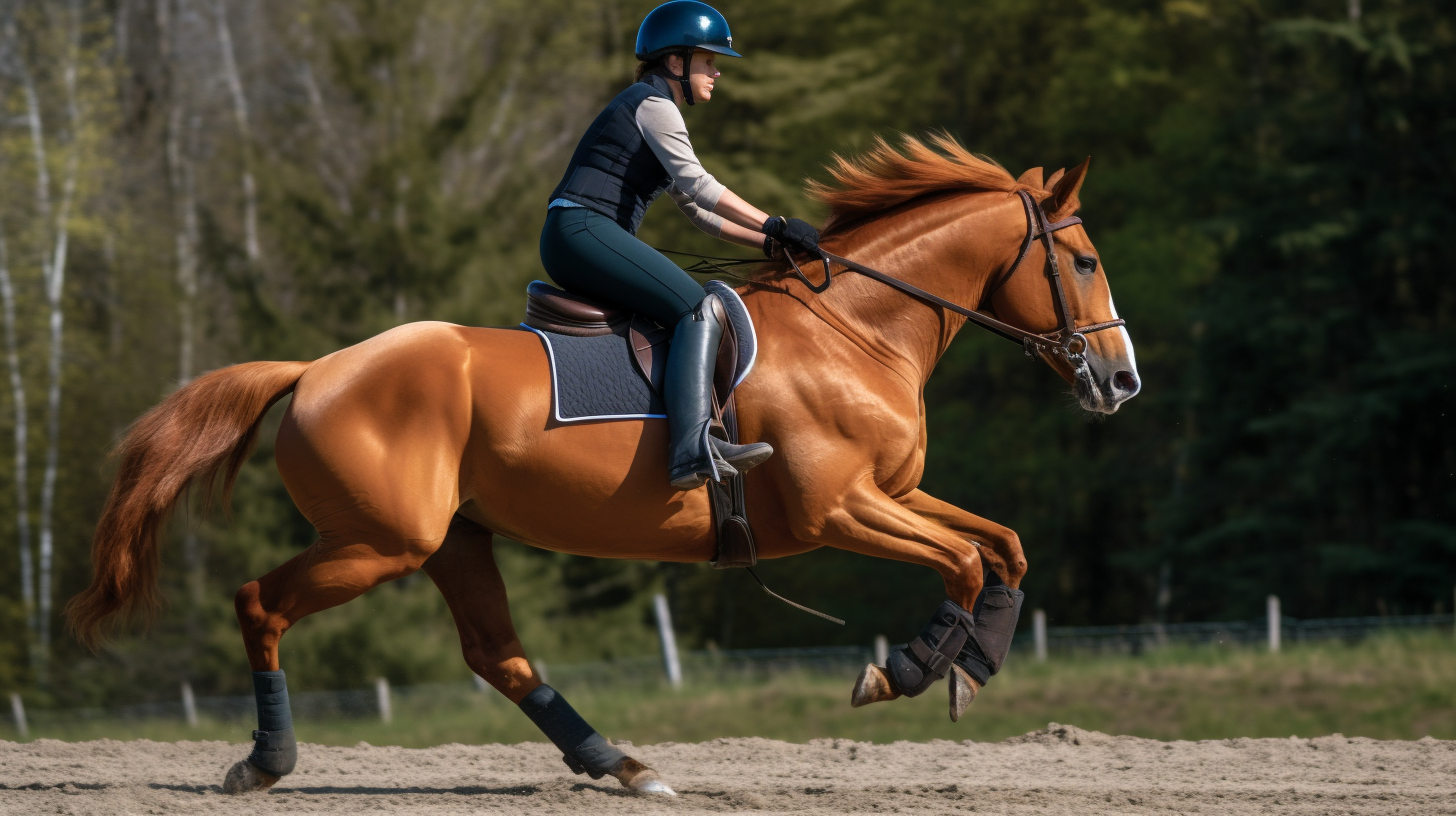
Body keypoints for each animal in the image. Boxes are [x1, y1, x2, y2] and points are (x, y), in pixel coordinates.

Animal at [65, 134, 1135, 798]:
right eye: (1082, 261)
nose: (1120, 380)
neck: (856, 331)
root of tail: (318, 368)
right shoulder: (841, 509)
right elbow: (963, 560)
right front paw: (907, 670)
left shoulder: (896, 494)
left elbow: (1003, 547)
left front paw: (975, 664)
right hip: (378, 543)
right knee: (262, 603)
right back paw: (265, 762)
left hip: (452, 540)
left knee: (498, 656)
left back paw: (622, 765)